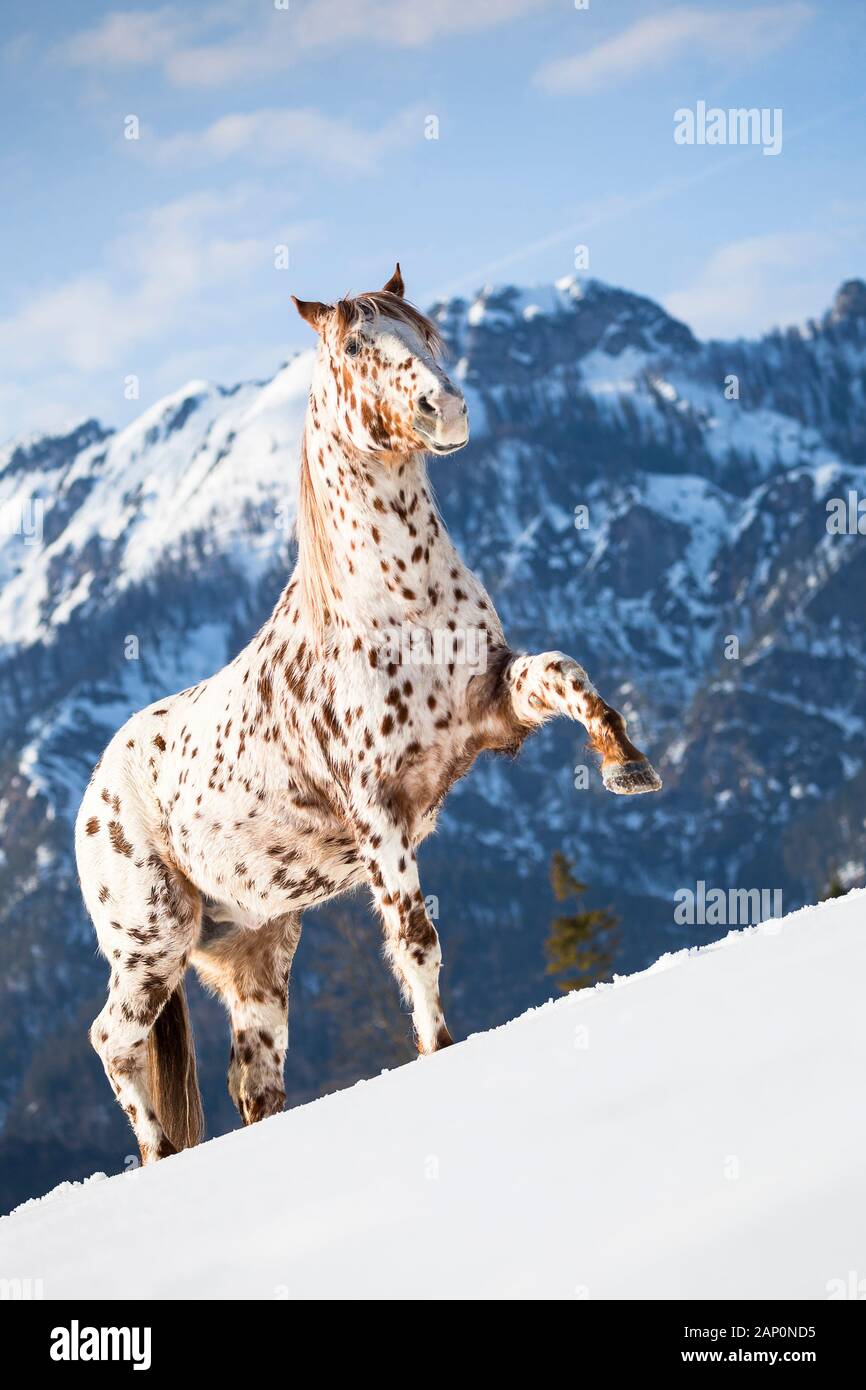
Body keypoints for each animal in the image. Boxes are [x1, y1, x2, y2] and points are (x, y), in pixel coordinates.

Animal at [77, 261, 664, 1162]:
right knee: (115, 1039)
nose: (443, 408)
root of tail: (97, 790)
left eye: (424, 333)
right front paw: (440, 1050)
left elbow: (562, 672)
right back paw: (158, 1155)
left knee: (253, 1078)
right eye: (356, 347)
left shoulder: (492, 709)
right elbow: (415, 940)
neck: (393, 604)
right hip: (152, 941)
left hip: (257, 945)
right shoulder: (378, 808)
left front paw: (626, 764)